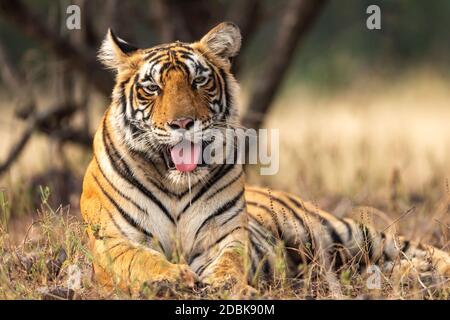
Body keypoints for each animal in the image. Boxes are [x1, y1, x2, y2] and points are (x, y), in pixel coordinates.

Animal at [80, 22, 450, 298]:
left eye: (199, 81)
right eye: (153, 88)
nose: (183, 124)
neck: (174, 183)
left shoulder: (225, 235)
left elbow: (229, 263)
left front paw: (227, 287)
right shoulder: (113, 238)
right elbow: (138, 260)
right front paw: (170, 280)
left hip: (341, 232)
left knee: (406, 246)